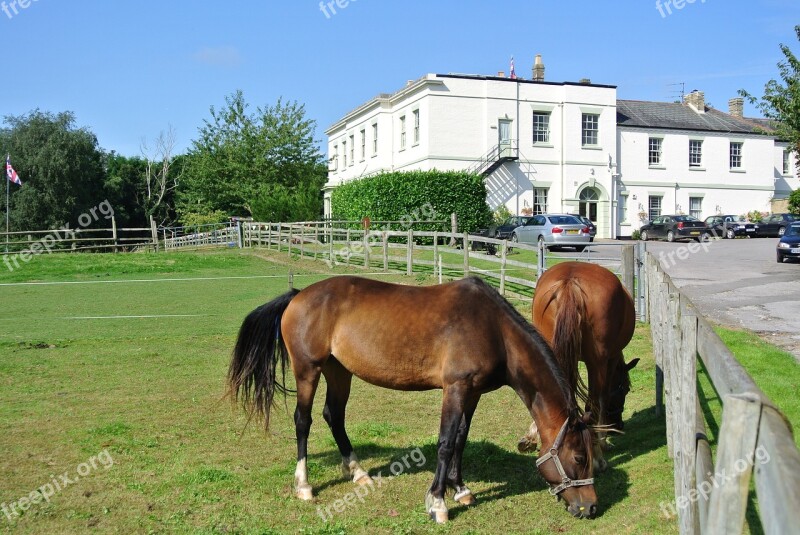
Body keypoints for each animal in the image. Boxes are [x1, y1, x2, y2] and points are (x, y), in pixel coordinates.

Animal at [228, 276, 596, 524]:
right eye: (579, 457)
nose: (590, 507)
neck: (495, 330)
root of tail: (298, 295)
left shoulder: (473, 392)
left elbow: (461, 439)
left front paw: (460, 489)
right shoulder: (456, 388)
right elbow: (446, 443)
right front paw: (438, 503)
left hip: (338, 371)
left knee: (335, 415)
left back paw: (357, 472)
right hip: (309, 369)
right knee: (303, 421)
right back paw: (304, 486)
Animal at [520, 262, 636, 472]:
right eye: (624, 390)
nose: (619, 426)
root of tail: (570, 283)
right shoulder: (610, 360)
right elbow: (603, 399)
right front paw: (602, 441)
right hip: (597, 362)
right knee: (594, 402)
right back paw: (597, 457)